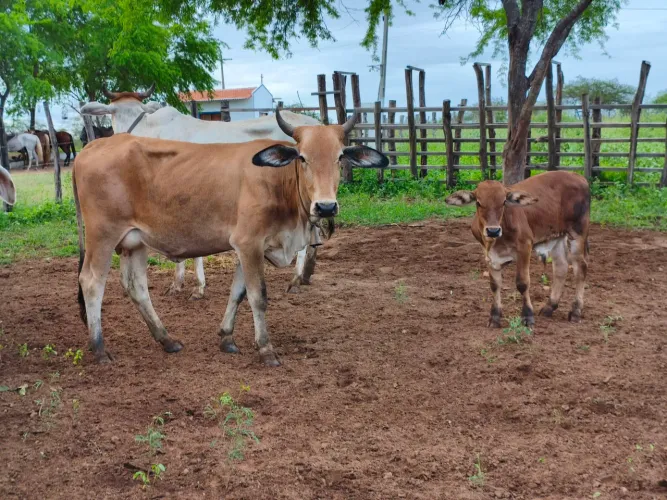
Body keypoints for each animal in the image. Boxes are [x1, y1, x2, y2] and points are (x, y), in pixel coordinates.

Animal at [73, 109, 388, 366]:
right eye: (302, 158)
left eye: (340, 157)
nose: (325, 207)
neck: (279, 184)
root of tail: (90, 148)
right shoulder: (249, 243)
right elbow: (258, 296)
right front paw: (266, 350)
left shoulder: (248, 248)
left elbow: (238, 292)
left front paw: (226, 338)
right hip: (102, 236)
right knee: (91, 282)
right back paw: (99, 349)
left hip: (134, 242)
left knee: (136, 286)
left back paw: (167, 340)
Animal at [80, 84, 325, 299]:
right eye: (114, 111)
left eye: (137, 112)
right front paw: (183, 284)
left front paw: (193, 287)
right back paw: (306, 274)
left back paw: (295, 280)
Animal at [445, 171, 590, 328]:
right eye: (478, 202)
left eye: (503, 202)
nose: (493, 231)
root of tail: (578, 176)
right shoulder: (488, 254)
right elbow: (494, 285)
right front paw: (494, 317)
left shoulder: (524, 247)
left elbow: (522, 283)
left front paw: (527, 316)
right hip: (556, 237)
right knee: (561, 267)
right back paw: (549, 307)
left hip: (578, 232)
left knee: (580, 268)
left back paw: (576, 311)